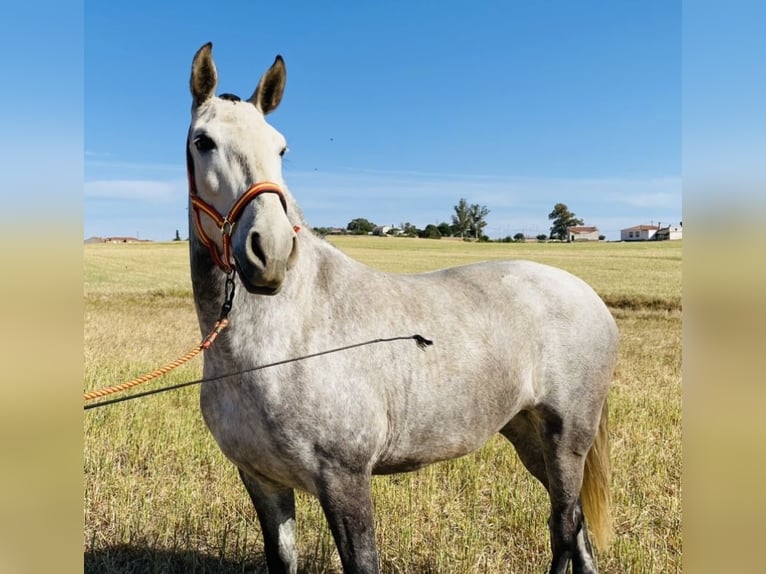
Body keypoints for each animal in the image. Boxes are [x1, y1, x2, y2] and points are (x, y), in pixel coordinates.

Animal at [189, 41, 620, 574]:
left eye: (281, 148)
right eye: (203, 141)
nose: (269, 250)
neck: (281, 344)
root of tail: (587, 295)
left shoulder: (345, 479)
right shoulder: (262, 481)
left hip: (567, 438)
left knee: (563, 527)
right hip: (530, 436)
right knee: (576, 528)